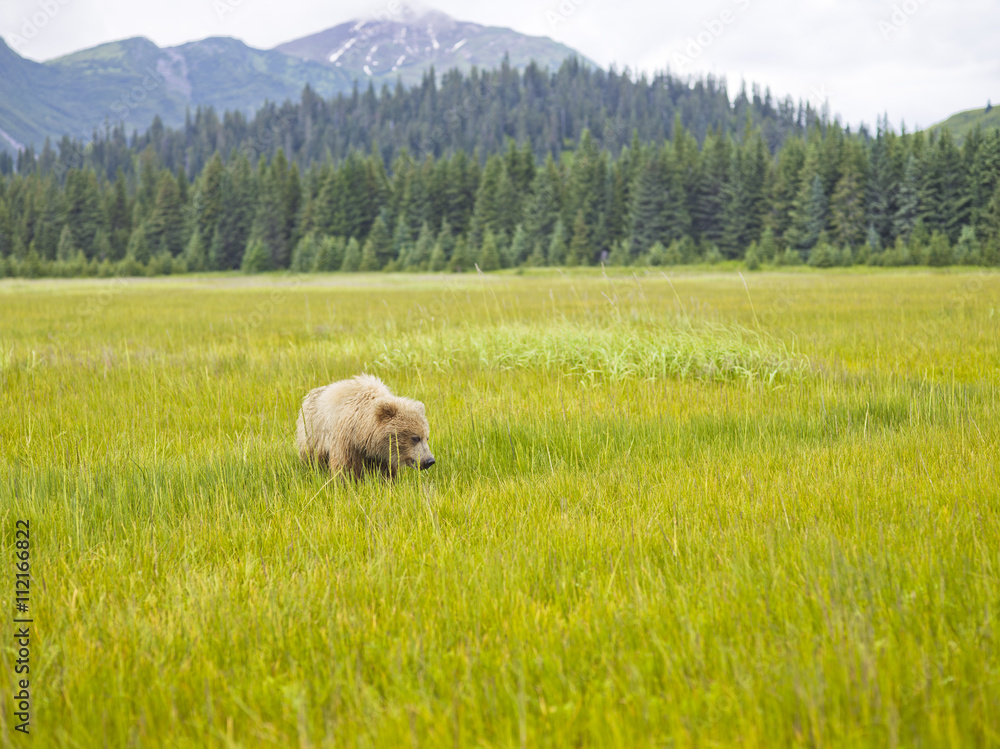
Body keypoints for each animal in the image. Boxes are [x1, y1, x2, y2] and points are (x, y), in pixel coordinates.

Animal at [296, 374, 435, 480]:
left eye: (426, 438)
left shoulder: (382, 455)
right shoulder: (347, 441)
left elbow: (386, 472)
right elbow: (345, 467)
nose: (429, 460)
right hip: (313, 432)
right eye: (415, 437)